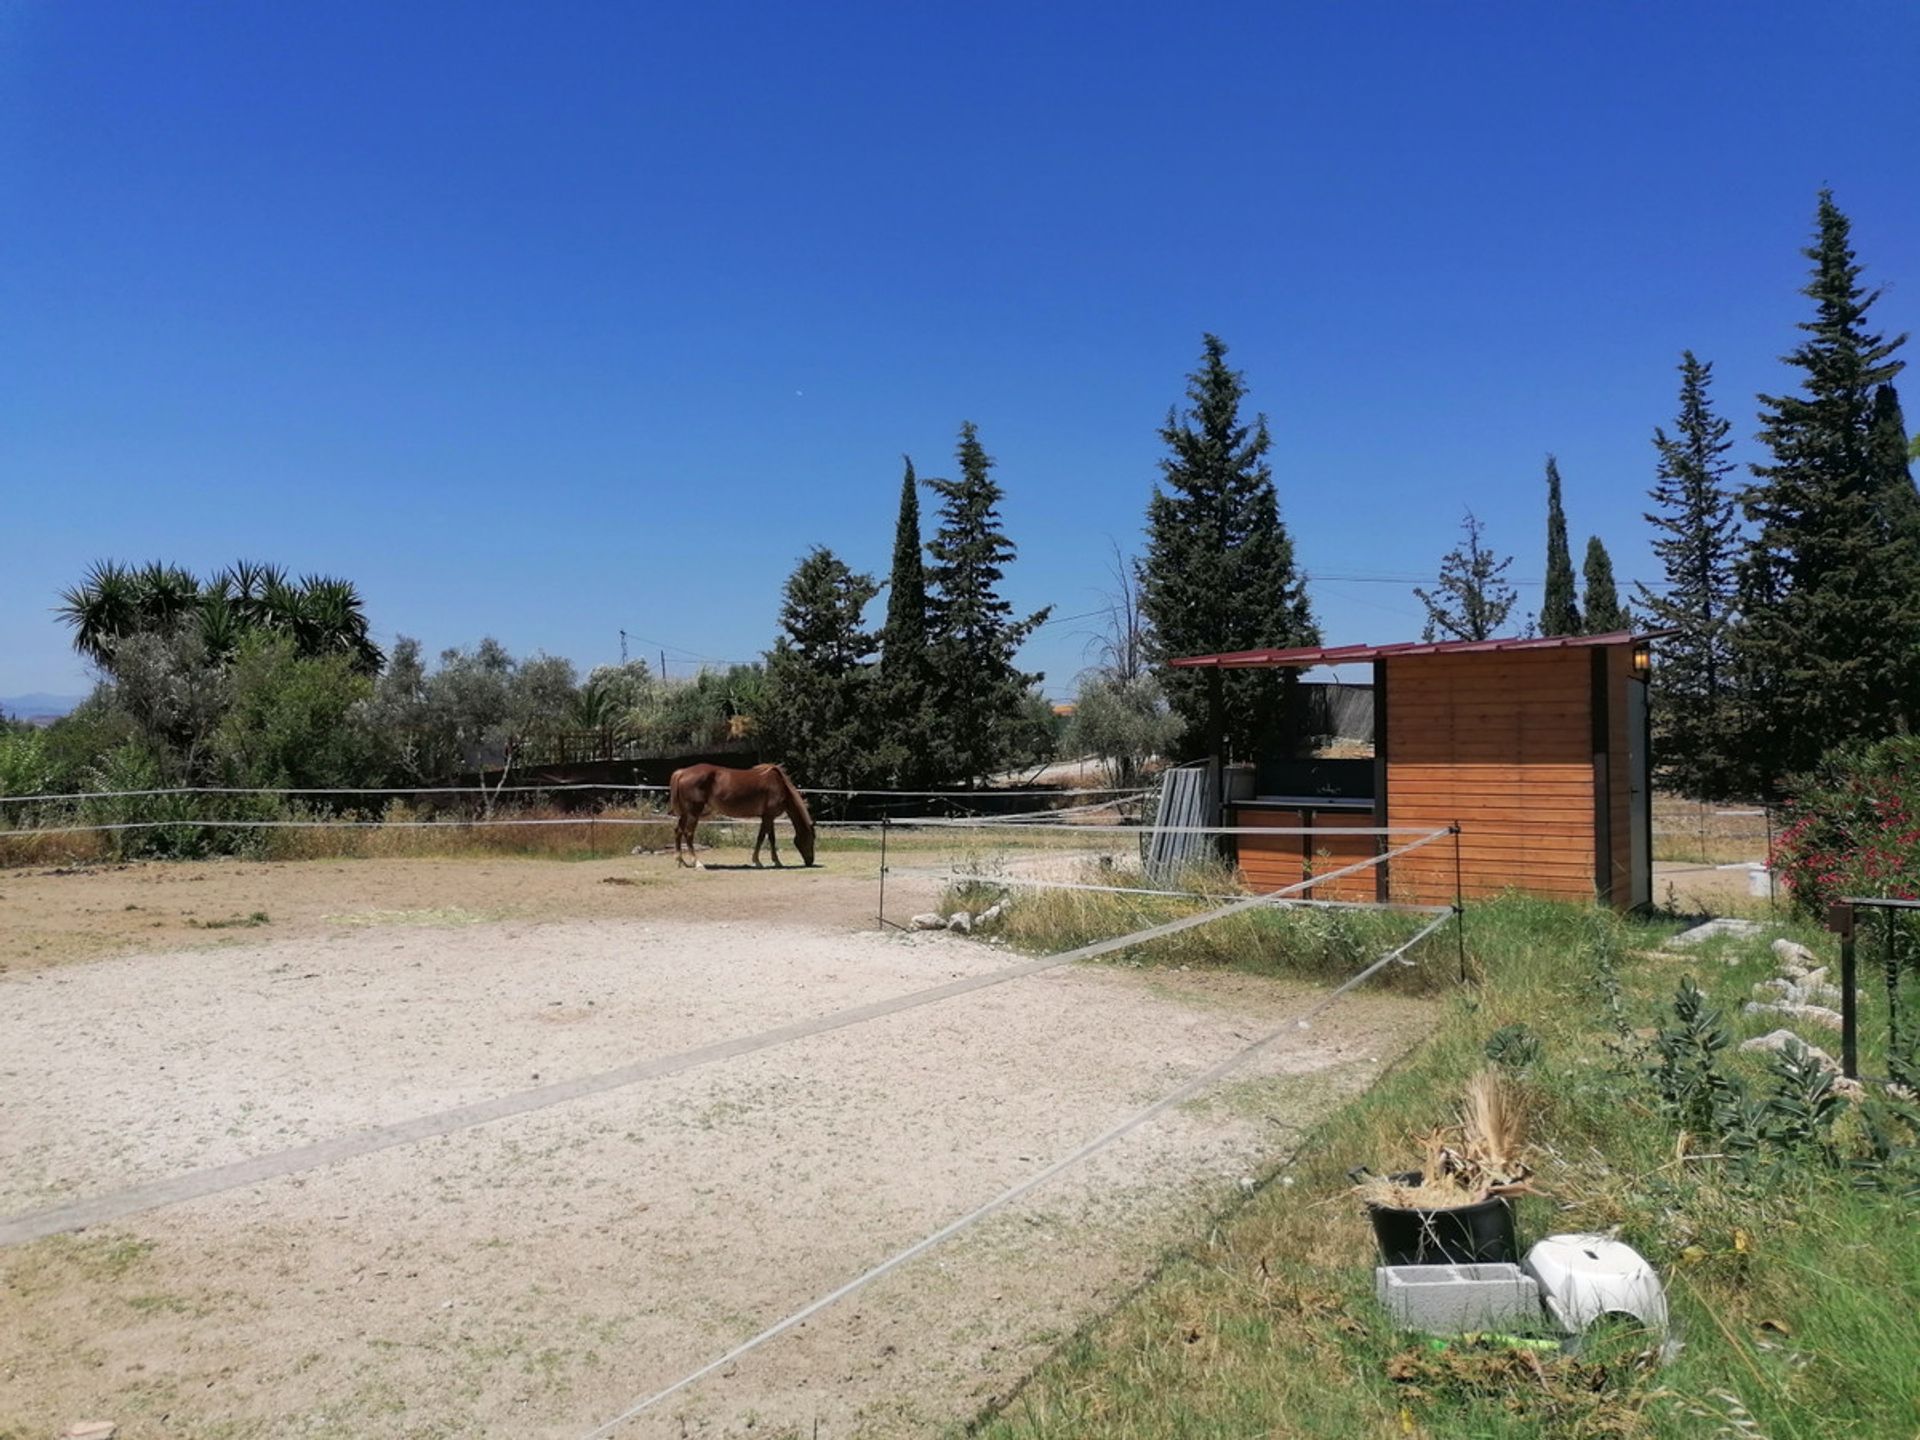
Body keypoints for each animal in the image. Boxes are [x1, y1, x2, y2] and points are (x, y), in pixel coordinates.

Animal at [668, 768, 817, 867]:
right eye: (811, 839)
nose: (810, 862)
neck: (780, 785)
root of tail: (681, 773)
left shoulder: (769, 817)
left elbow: (770, 838)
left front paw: (775, 861)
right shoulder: (767, 817)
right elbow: (762, 838)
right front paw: (758, 861)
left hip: (685, 814)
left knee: (678, 831)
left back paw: (680, 860)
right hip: (693, 813)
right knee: (688, 834)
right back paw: (697, 863)